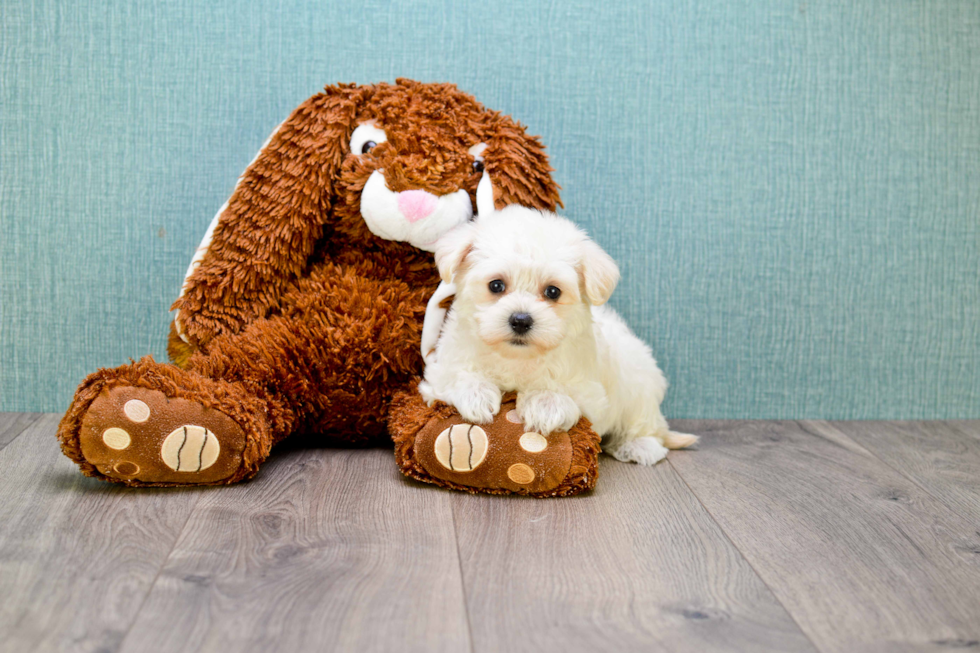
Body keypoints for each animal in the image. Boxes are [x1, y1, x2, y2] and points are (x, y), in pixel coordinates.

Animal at [418, 204, 692, 464]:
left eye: (553, 291)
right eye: (496, 285)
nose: (520, 320)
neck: (517, 357)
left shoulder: (591, 394)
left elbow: (565, 394)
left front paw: (545, 403)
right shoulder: (440, 371)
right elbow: (458, 376)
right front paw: (476, 393)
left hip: (638, 384)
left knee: (646, 425)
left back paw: (639, 446)